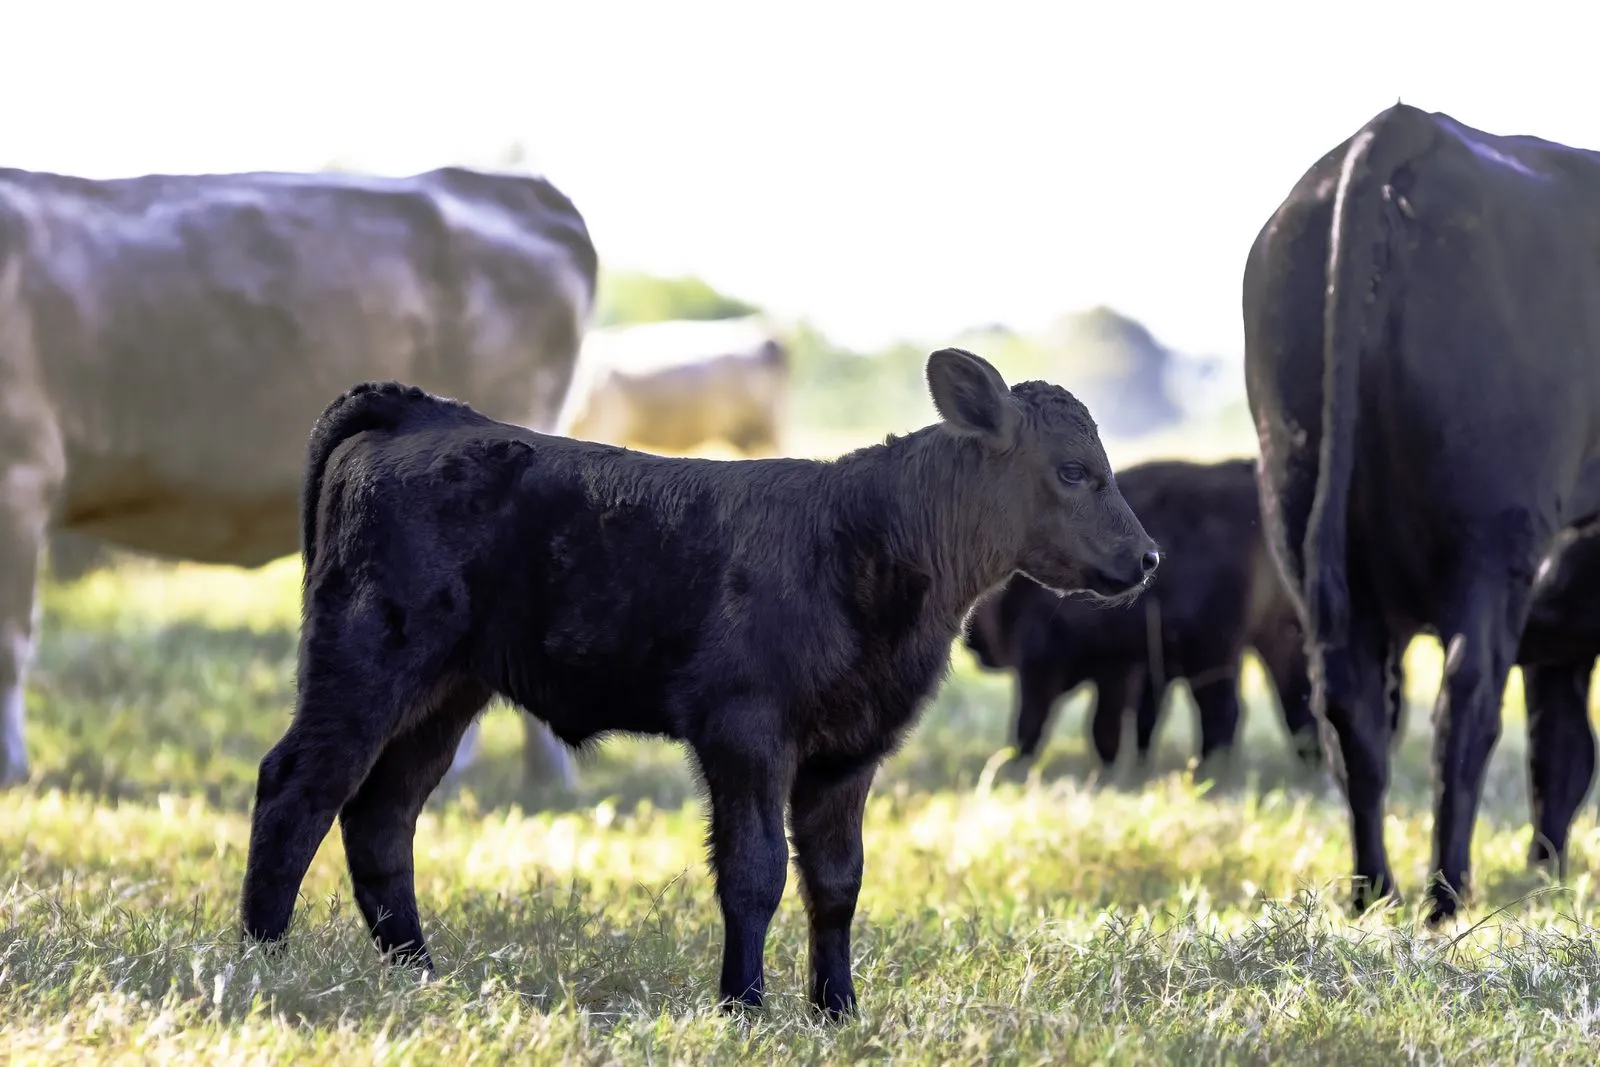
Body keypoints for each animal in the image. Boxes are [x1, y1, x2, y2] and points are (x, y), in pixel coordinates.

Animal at [238, 350, 1161, 1018]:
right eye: (1074, 470)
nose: (1148, 556)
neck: (866, 540)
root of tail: (426, 412)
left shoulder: (851, 748)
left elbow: (838, 880)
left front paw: (838, 1011)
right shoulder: (745, 728)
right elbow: (755, 871)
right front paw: (744, 1006)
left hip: (444, 694)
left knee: (381, 815)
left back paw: (421, 974)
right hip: (365, 661)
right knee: (296, 788)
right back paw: (263, 960)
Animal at [962, 458, 1319, 772]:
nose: (971, 643)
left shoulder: (1043, 666)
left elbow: (1033, 724)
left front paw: (1014, 764)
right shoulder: (1123, 672)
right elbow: (1114, 726)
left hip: (1215, 651)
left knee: (1222, 712)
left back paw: (1210, 768)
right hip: (1280, 636)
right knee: (1298, 704)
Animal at [1242, 102, 1600, 924]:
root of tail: (1409, 126)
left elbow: (1562, 751)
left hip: (1300, 516)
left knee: (1354, 715)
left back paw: (1374, 892)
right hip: (1491, 542)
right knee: (1464, 711)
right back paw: (1445, 893)